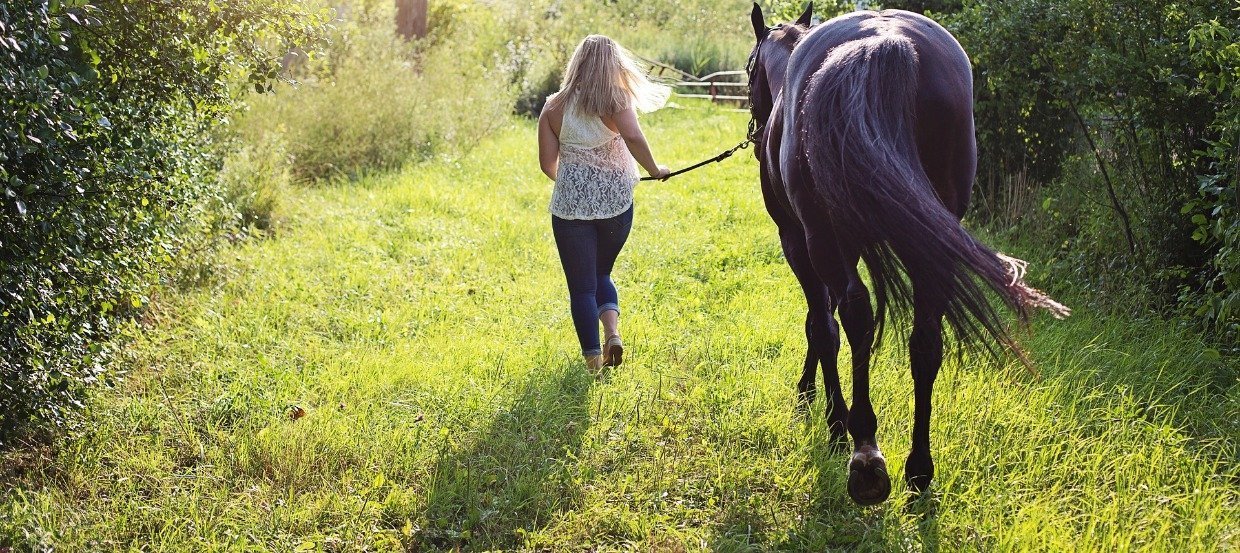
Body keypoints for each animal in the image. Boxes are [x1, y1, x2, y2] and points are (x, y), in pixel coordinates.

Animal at [744, 3, 1066, 505]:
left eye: (748, 68)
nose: (756, 133)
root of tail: (884, 41)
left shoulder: (797, 241)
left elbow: (821, 325)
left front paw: (827, 417)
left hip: (823, 239)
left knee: (855, 316)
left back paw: (865, 454)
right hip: (930, 244)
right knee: (925, 341)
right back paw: (919, 469)